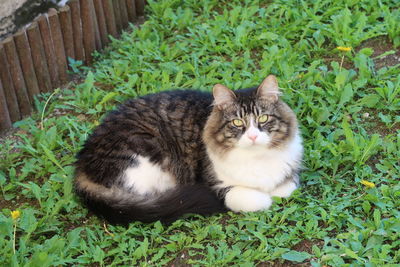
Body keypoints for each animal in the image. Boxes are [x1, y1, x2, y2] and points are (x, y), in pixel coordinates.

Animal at [73, 76, 302, 226]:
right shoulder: (214, 183)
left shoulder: (290, 172)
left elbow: (286, 187)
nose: (253, 136)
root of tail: (80, 167)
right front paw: (264, 198)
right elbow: (253, 198)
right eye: (237, 123)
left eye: (263, 118)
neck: (257, 159)